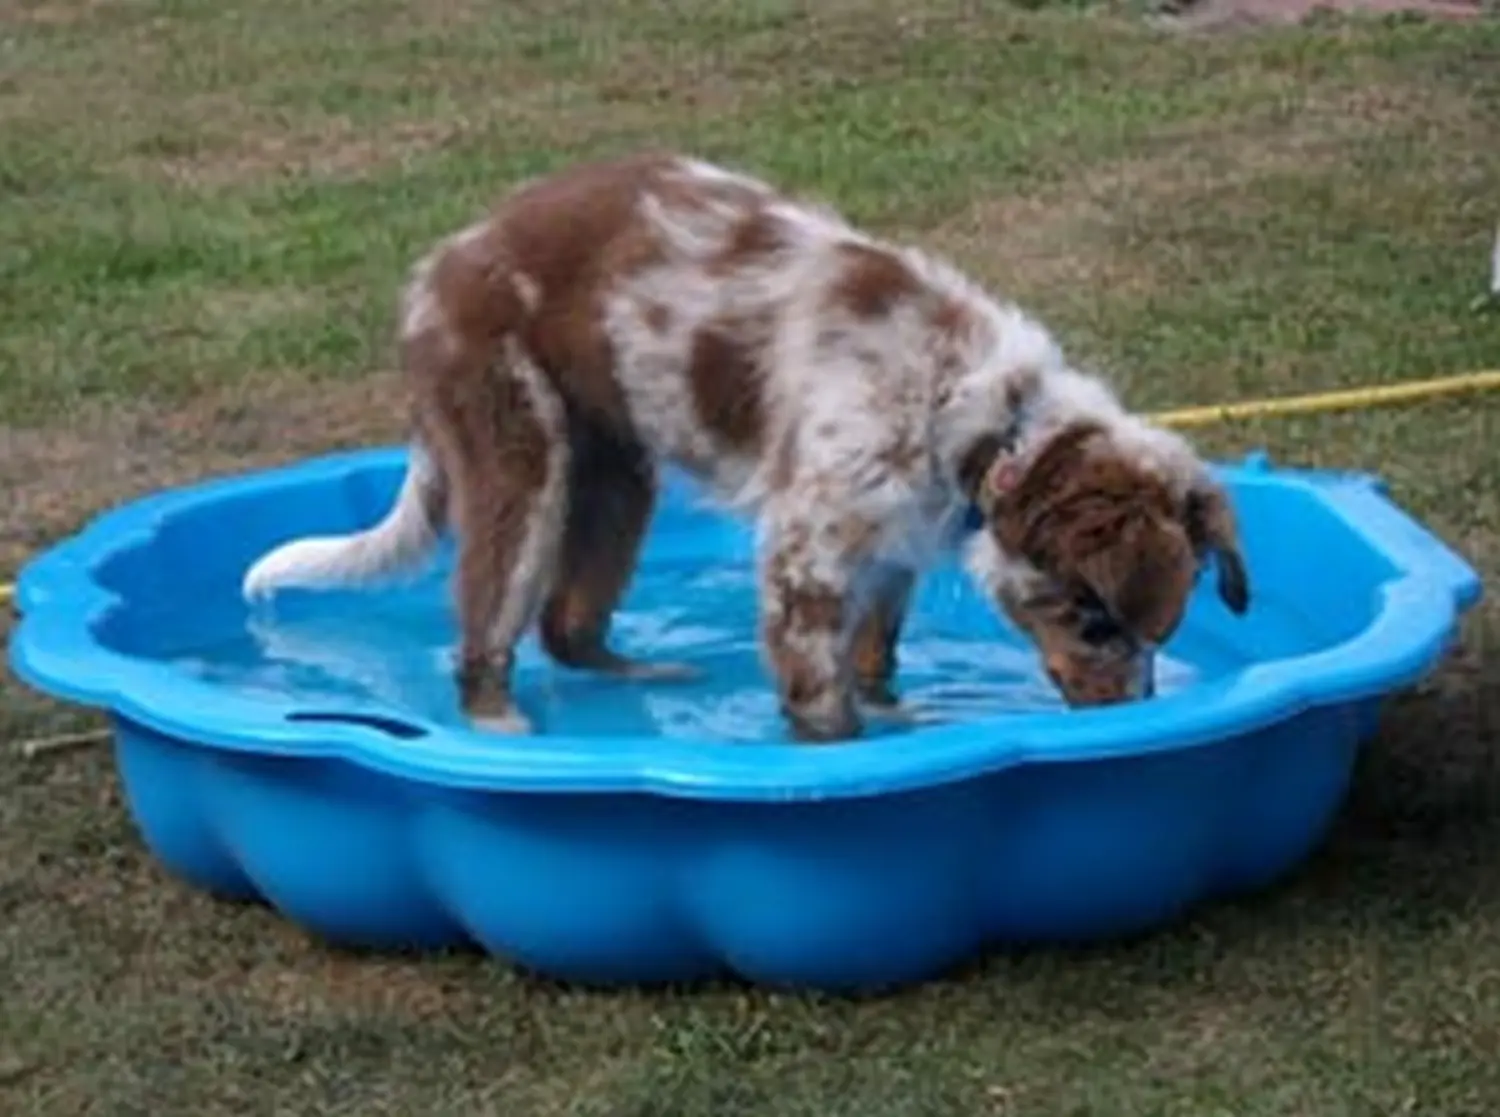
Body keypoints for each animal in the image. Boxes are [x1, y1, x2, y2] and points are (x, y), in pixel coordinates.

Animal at [246, 148, 1248, 740]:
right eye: (1096, 619)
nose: (1134, 724)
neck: (986, 416)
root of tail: (441, 262)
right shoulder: (808, 553)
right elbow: (826, 707)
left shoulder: (889, 551)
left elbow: (876, 665)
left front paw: (902, 716)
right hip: (523, 456)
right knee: (487, 632)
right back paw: (501, 728)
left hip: (618, 466)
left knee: (567, 624)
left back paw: (643, 670)